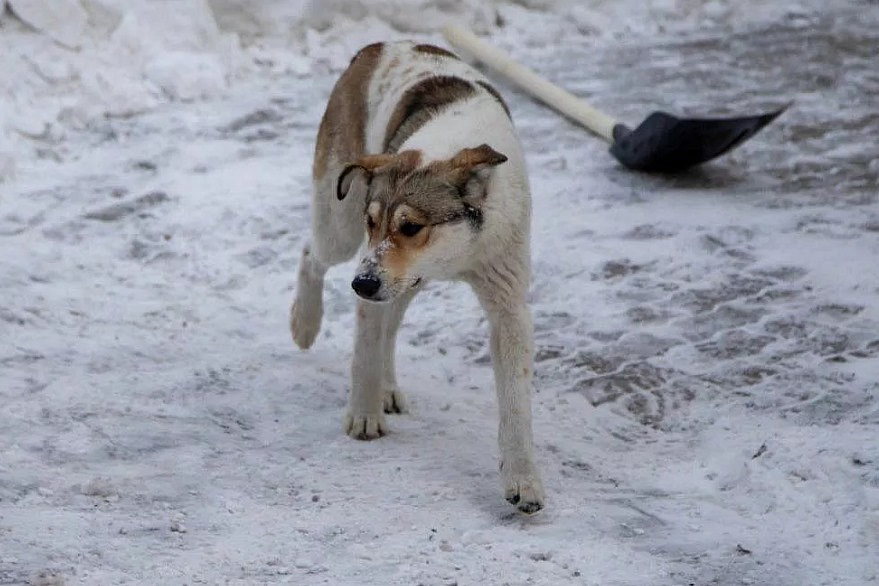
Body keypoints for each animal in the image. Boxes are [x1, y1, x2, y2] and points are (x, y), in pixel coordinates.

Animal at [292, 41, 548, 512]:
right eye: (373, 221)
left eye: (411, 227)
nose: (361, 284)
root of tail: (375, 46)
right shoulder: (371, 263)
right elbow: (364, 351)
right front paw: (363, 416)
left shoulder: (508, 305)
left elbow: (515, 402)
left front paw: (523, 480)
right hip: (339, 225)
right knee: (311, 254)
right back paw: (304, 323)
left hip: (402, 279)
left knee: (390, 319)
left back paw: (387, 385)